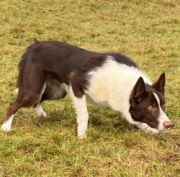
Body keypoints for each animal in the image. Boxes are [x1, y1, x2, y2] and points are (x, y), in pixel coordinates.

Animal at [1, 40, 173, 138]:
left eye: (163, 106)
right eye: (150, 106)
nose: (169, 125)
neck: (126, 85)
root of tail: (34, 45)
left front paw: (149, 130)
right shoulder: (76, 84)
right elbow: (84, 114)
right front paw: (81, 136)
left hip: (58, 92)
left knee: (37, 101)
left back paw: (42, 115)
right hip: (33, 90)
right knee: (14, 104)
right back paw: (6, 127)